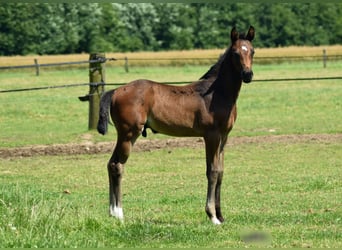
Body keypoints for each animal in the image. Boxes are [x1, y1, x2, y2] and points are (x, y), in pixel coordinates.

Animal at [97, 25, 255, 225]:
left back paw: (112, 212)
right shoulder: (211, 136)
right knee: (117, 165)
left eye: (252, 51)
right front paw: (212, 216)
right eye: (235, 53)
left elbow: (220, 172)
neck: (216, 94)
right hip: (128, 133)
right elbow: (211, 171)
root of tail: (116, 90)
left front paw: (220, 216)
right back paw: (119, 213)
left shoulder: (224, 137)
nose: (248, 75)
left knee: (111, 163)